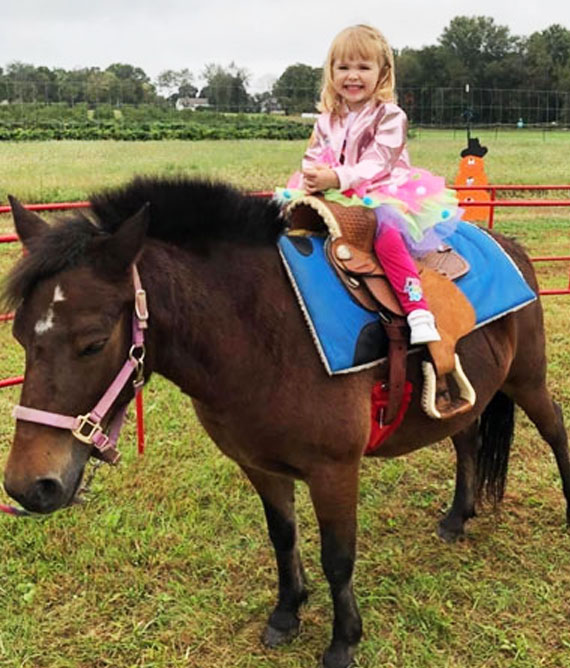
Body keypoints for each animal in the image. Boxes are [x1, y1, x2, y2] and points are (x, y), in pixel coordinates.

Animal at [4, 177, 568, 668]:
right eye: (20, 335)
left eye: (94, 342)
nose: (29, 486)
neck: (264, 331)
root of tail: (509, 246)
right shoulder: (260, 466)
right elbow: (283, 537)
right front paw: (286, 612)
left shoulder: (335, 470)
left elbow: (337, 557)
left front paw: (343, 641)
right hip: (463, 396)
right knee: (467, 439)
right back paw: (457, 516)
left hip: (528, 380)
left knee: (555, 427)